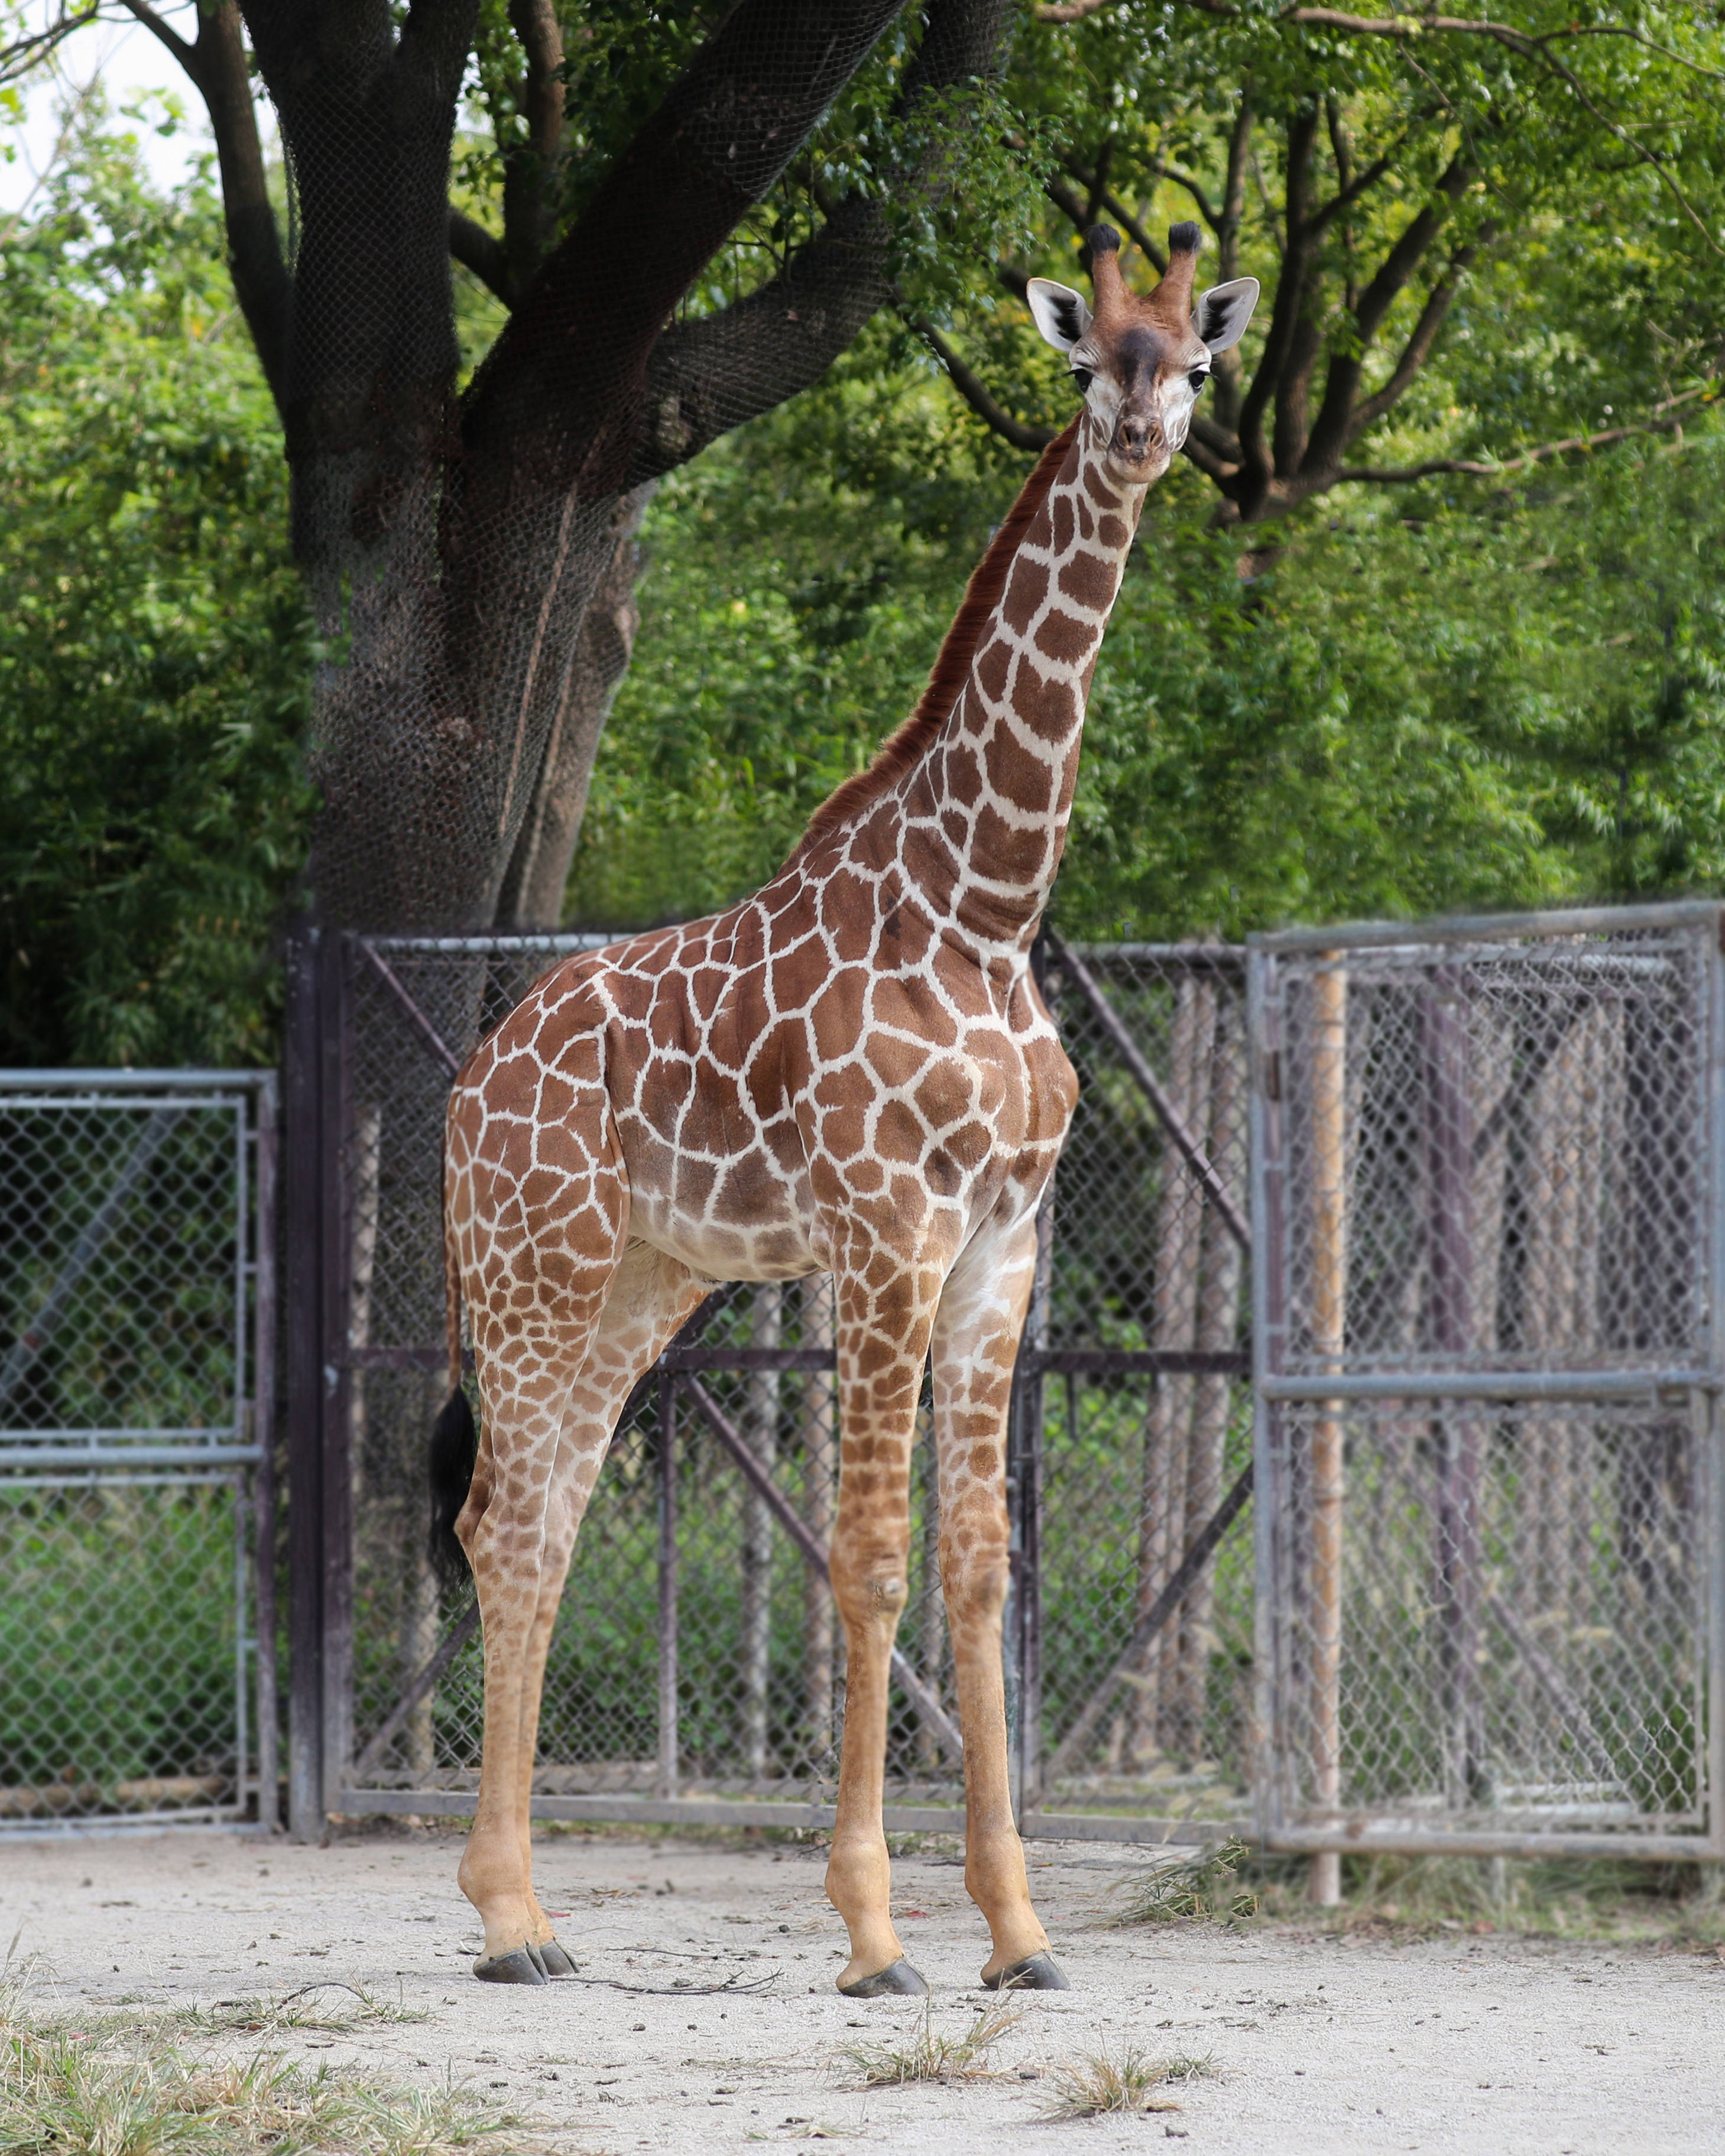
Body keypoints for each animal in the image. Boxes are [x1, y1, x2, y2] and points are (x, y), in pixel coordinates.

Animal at [435, 219, 1250, 1983]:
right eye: (1090, 358)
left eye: (1189, 360)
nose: (1139, 436)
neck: (986, 904)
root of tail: (472, 1079)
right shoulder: (887, 1234)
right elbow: (870, 1562)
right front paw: (874, 1932)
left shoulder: (1001, 1244)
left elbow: (979, 1569)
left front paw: (1017, 1931)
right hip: (530, 1267)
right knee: (503, 1521)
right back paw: (511, 1920)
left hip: (641, 1284)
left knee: (541, 1518)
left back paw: (525, 1914)